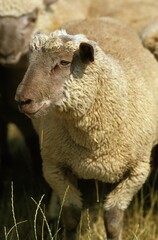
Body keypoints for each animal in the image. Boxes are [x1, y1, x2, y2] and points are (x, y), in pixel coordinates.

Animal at [15, 17, 158, 240]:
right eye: (30, 62)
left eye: (64, 62)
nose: (22, 100)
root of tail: (98, 18)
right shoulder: (54, 168)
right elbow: (72, 216)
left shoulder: (137, 172)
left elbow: (113, 219)